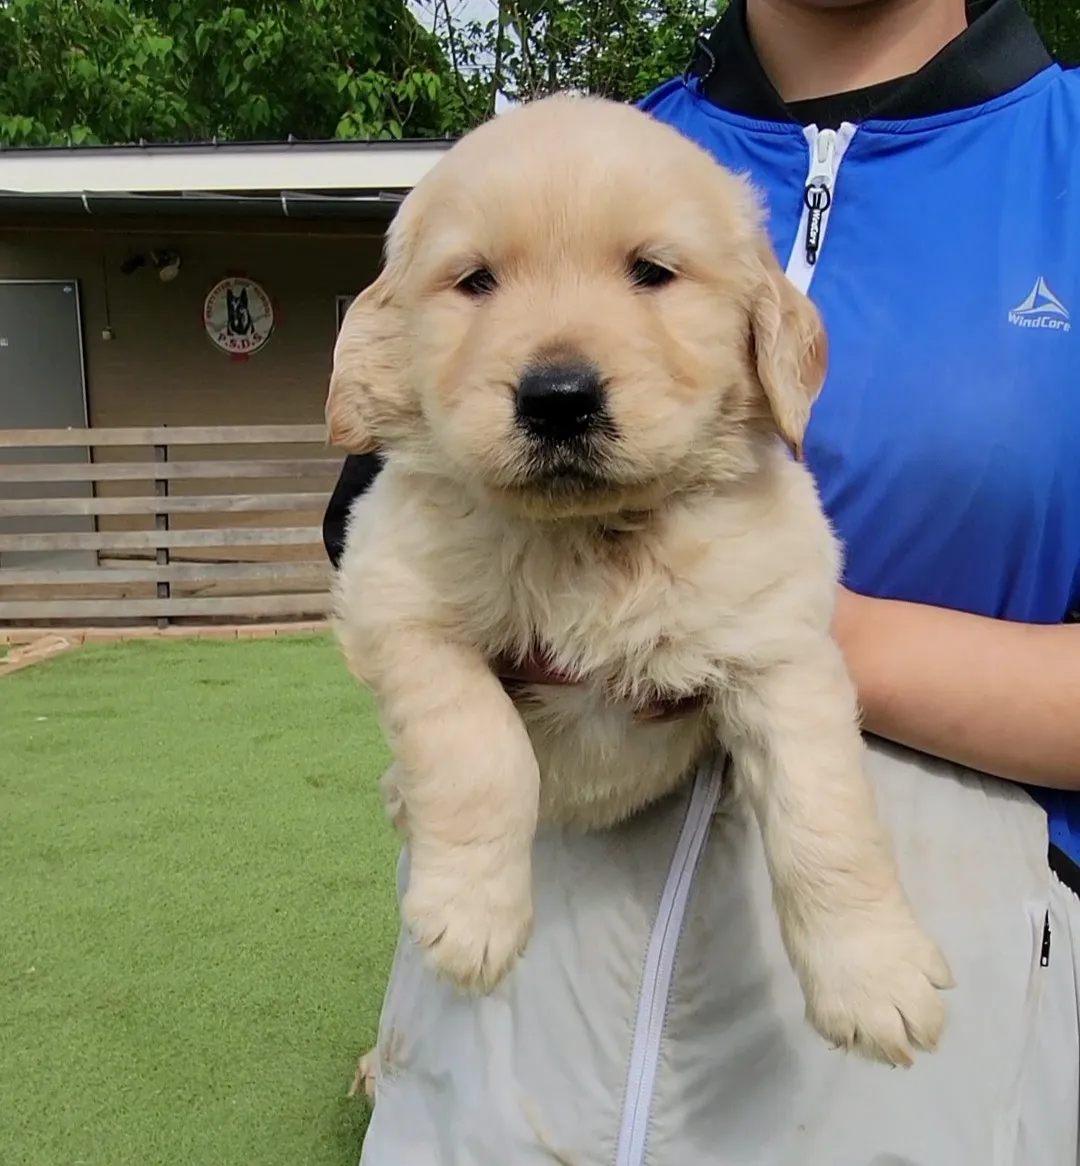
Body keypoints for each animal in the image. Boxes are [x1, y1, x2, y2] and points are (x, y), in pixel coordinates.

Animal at [331, 93, 956, 1072]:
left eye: (652, 273)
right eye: (475, 282)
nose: (557, 399)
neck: (592, 538)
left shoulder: (781, 650)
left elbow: (826, 820)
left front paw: (875, 978)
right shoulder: (393, 595)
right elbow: (480, 750)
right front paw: (472, 913)